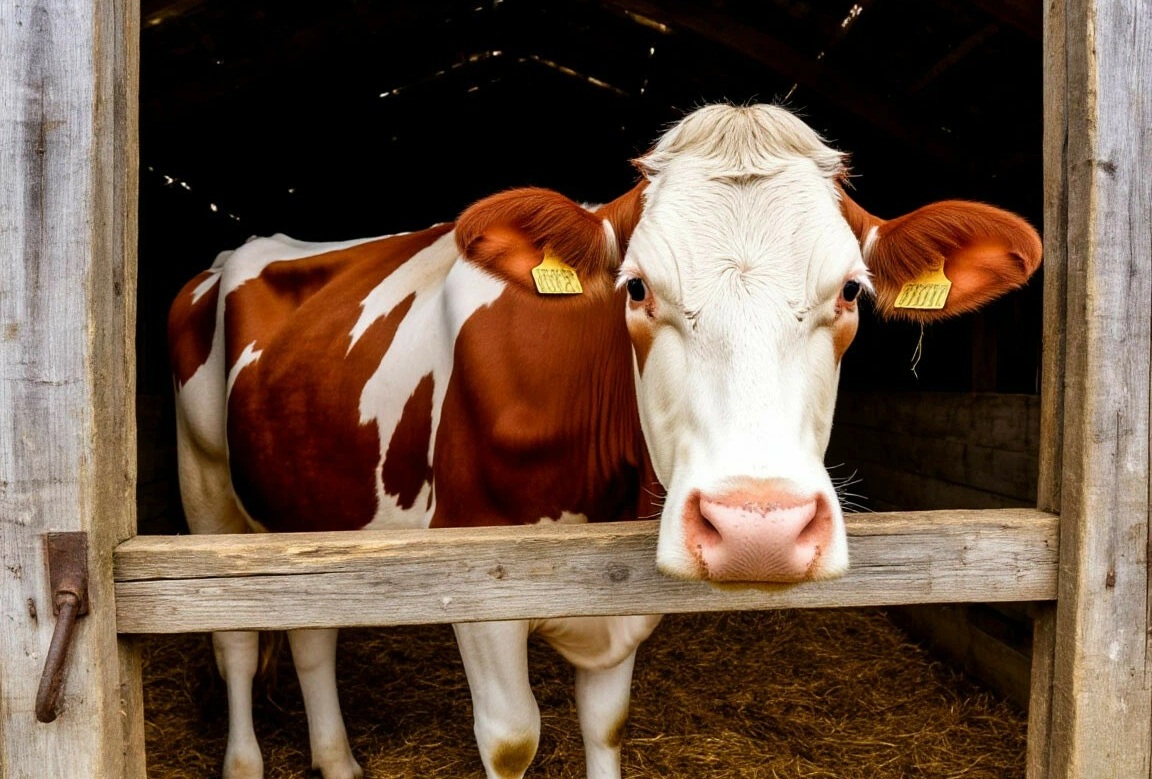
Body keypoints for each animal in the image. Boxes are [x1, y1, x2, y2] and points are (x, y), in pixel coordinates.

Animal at [168, 103, 1042, 779]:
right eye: (638, 288)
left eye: (852, 291)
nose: (757, 530)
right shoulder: (477, 583)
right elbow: (512, 738)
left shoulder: (619, 597)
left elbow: (606, 722)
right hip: (206, 490)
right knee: (236, 637)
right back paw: (244, 761)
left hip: (307, 506)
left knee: (310, 628)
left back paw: (338, 759)